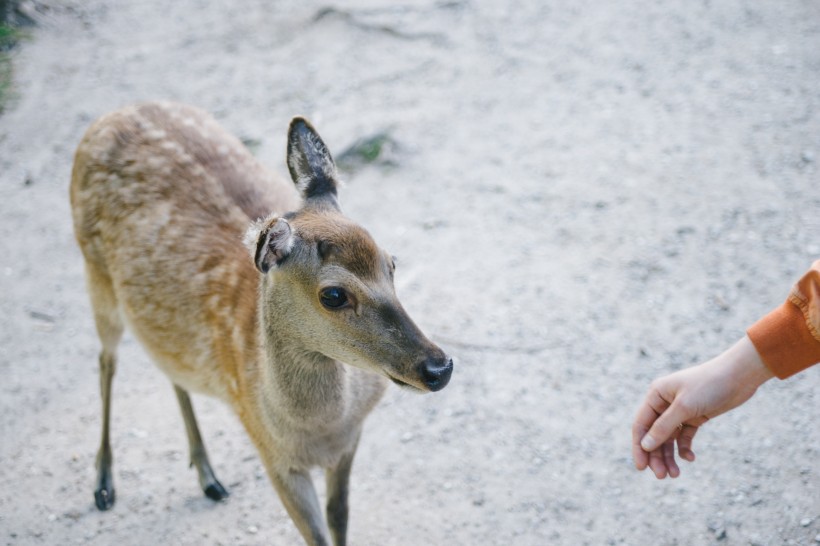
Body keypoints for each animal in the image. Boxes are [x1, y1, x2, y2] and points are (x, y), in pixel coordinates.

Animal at [69, 100, 454, 540]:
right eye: (334, 295)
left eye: (391, 263)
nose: (439, 367)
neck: (318, 433)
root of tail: (117, 111)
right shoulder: (269, 451)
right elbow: (315, 534)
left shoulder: (349, 443)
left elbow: (339, 519)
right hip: (96, 278)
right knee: (106, 360)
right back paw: (103, 484)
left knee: (167, 366)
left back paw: (208, 477)